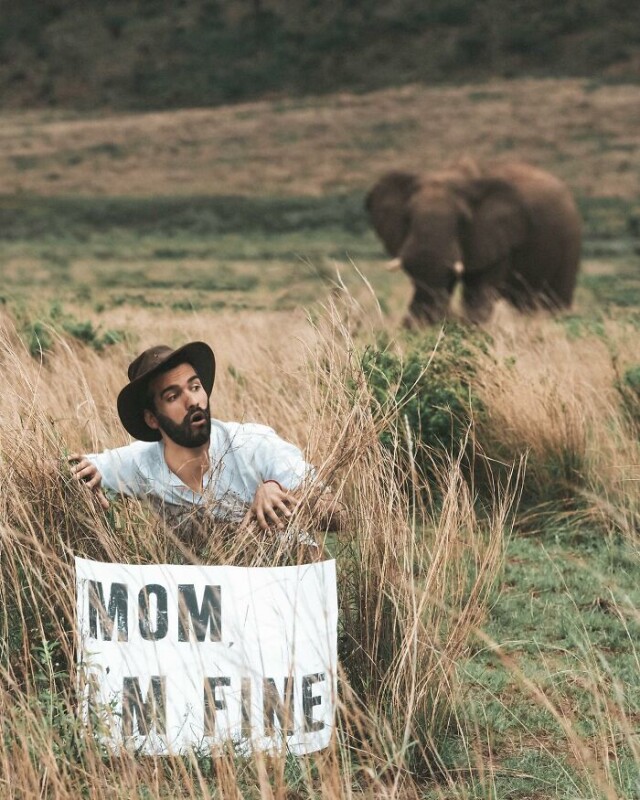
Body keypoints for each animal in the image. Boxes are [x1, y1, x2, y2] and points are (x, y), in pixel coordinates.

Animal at [364, 159, 580, 324]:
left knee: (554, 301)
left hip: (570, 242)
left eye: (462, 221)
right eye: (407, 218)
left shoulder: (498, 241)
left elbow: (478, 294)